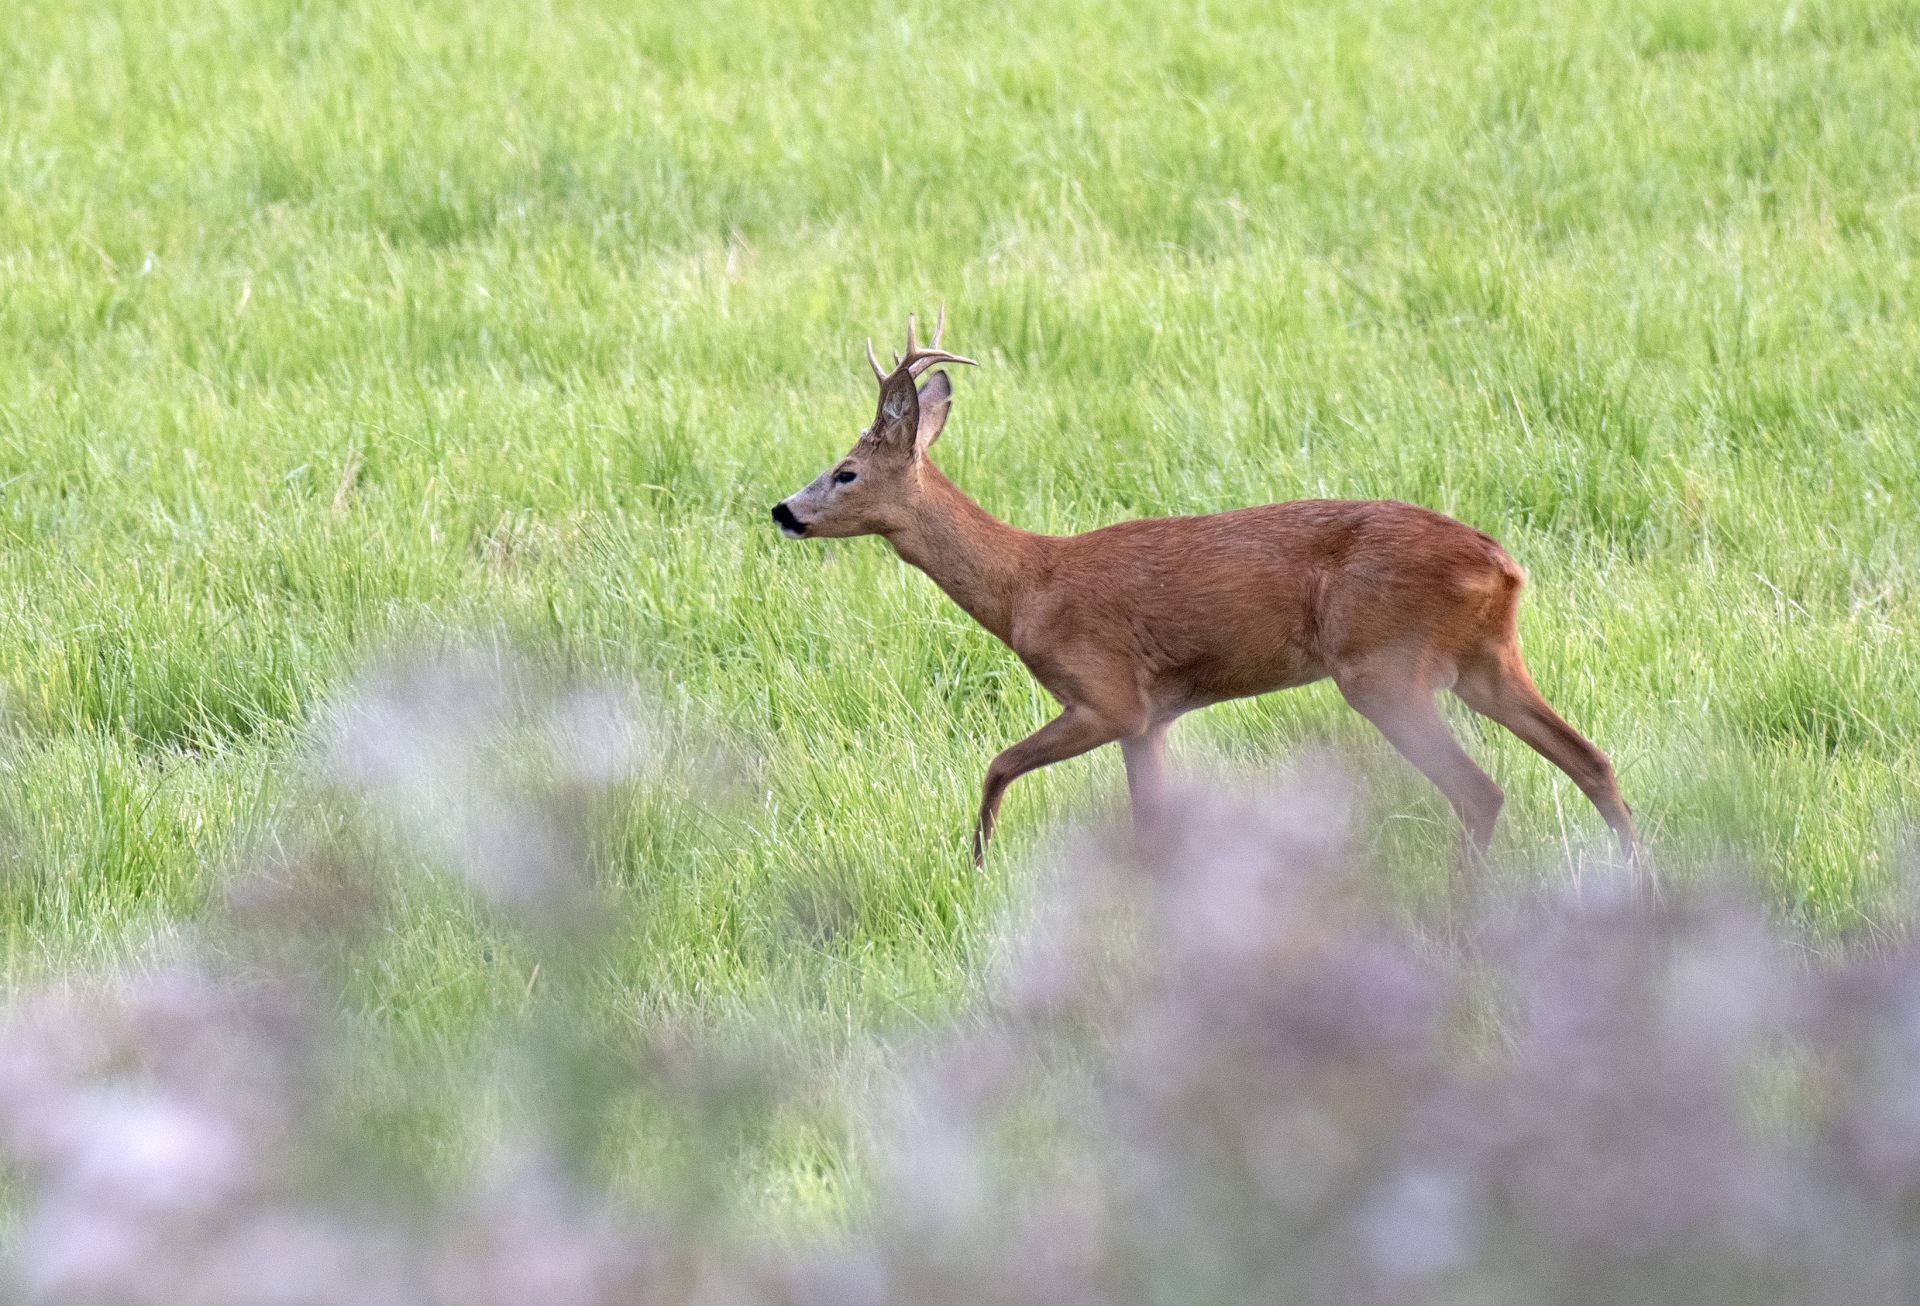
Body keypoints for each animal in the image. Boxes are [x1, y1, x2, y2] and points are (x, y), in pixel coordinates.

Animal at [771, 313, 1643, 868]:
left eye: (845, 472)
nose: (782, 510)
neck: (1026, 586)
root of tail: (1503, 562)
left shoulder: (1107, 693)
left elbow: (997, 765)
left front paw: (977, 863)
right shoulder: (1152, 719)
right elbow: (1150, 826)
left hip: (1383, 665)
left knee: (1482, 792)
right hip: (1486, 658)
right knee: (1593, 760)